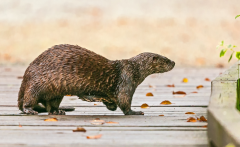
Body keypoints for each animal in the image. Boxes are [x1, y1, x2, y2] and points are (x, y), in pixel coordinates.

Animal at [17, 44, 174, 115]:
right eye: (166, 59)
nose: (173, 62)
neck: (133, 70)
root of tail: (27, 74)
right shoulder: (126, 81)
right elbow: (124, 102)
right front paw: (135, 112)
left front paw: (108, 104)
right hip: (36, 84)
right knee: (28, 100)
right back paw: (30, 110)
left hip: (56, 92)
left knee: (51, 105)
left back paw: (59, 111)